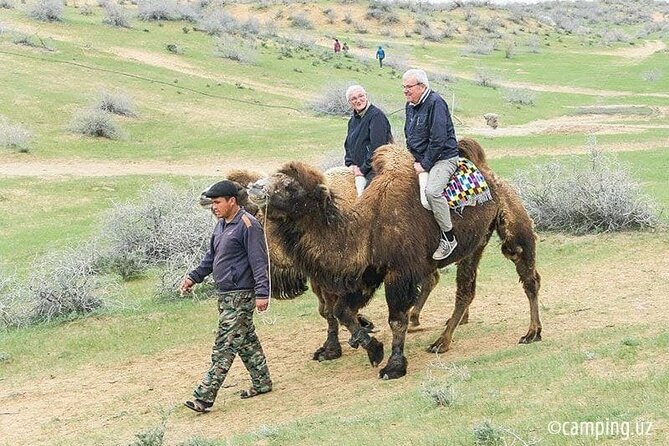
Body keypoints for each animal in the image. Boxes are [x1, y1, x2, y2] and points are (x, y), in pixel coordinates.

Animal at [248, 139, 542, 379]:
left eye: (289, 186)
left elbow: (394, 319)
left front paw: (394, 365)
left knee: (527, 274)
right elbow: (341, 311)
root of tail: (488, 172)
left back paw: (532, 333)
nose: (255, 188)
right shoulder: (367, 274)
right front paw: (372, 348)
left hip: (512, 220)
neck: (366, 226)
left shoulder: (399, 273)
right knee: (465, 291)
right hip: (475, 244)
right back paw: (442, 340)